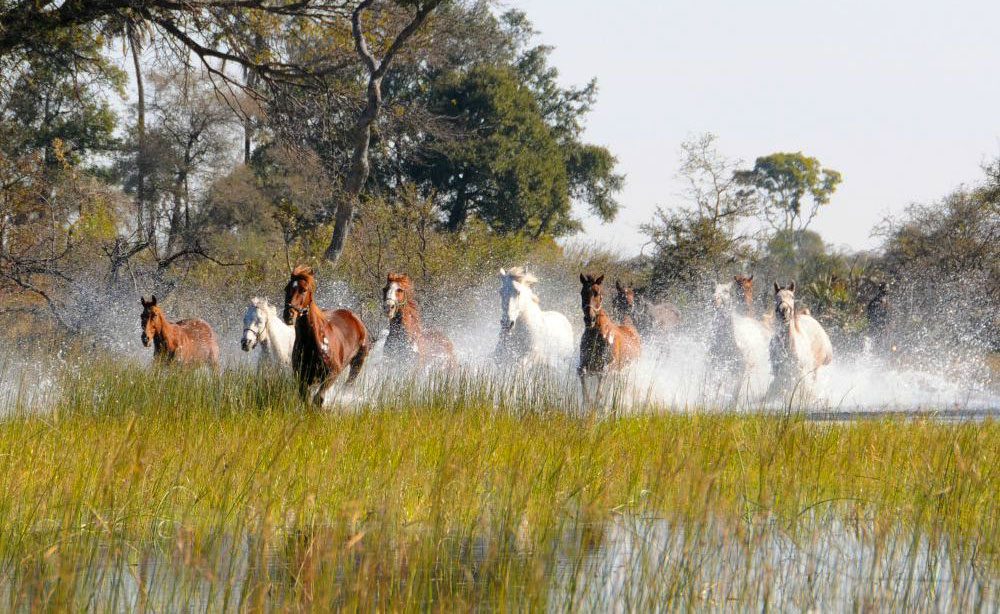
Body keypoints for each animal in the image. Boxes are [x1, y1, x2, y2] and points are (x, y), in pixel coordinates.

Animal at [283, 266, 369, 406]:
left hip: (358, 362)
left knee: (348, 385)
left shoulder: (332, 374)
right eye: (286, 288)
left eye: (303, 290)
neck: (315, 343)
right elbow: (305, 398)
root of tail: (355, 318)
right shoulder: (301, 377)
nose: (288, 315)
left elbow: (319, 398)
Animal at [578, 274, 641, 408]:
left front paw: (598, 402)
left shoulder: (610, 365)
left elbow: (602, 381)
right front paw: (587, 401)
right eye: (582, 293)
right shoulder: (585, 363)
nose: (589, 319)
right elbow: (581, 372)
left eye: (598, 293)